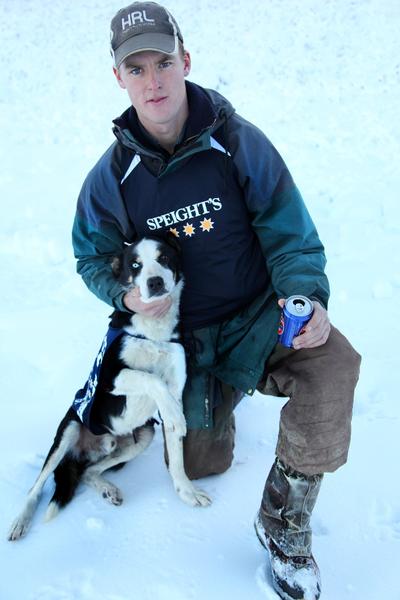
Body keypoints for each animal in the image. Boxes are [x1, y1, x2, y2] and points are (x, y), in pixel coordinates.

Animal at [7, 232, 211, 540]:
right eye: (135, 265)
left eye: (164, 258)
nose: (155, 282)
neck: (153, 330)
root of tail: (88, 449)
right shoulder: (108, 378)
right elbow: (151, 379)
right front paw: (177, 416)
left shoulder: (175, 386)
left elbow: (176, 458)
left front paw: (187, 493)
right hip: (69, 428)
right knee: (37, 486)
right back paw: (20, 520)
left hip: (141, 437)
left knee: (89, 471)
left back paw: (107, 489)